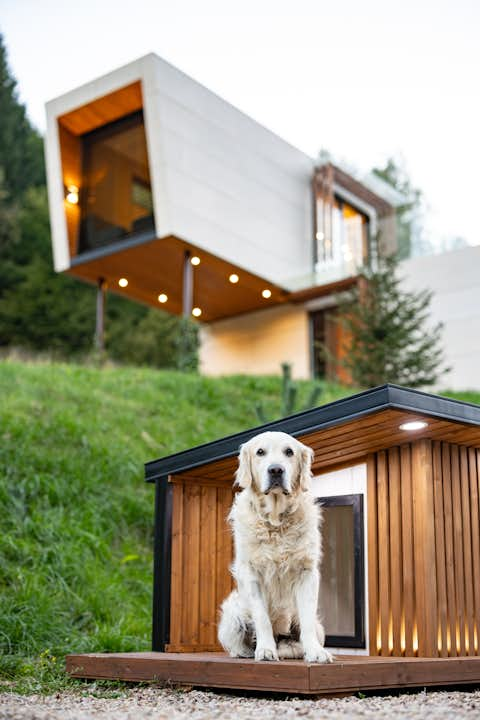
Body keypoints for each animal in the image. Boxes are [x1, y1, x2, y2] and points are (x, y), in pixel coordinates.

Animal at [219, 430, 332, 660]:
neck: (276, 522)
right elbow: (262, 617)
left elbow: (307, 619)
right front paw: (265, 650)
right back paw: (247, 651)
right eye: (260, 452)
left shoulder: (306, 572)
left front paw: (316, 652)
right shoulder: (251, 573)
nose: (276, 470)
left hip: (316, 627)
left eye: (289, 452)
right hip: (233, 613)